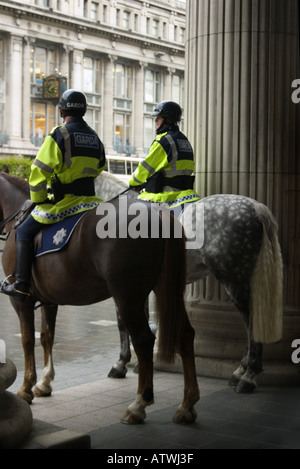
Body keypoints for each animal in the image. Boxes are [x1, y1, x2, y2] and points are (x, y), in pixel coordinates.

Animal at [1, 168, 200, 424]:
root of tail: (158, 215)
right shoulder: (49, 300)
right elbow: (47, 337)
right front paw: (44, 383)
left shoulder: (21, 300)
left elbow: (27, 340)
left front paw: (27, 387)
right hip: (165, 289)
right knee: (184, 335)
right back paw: (187, 404)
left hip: (128, 297)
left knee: (144, 340)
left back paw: (138, 404)